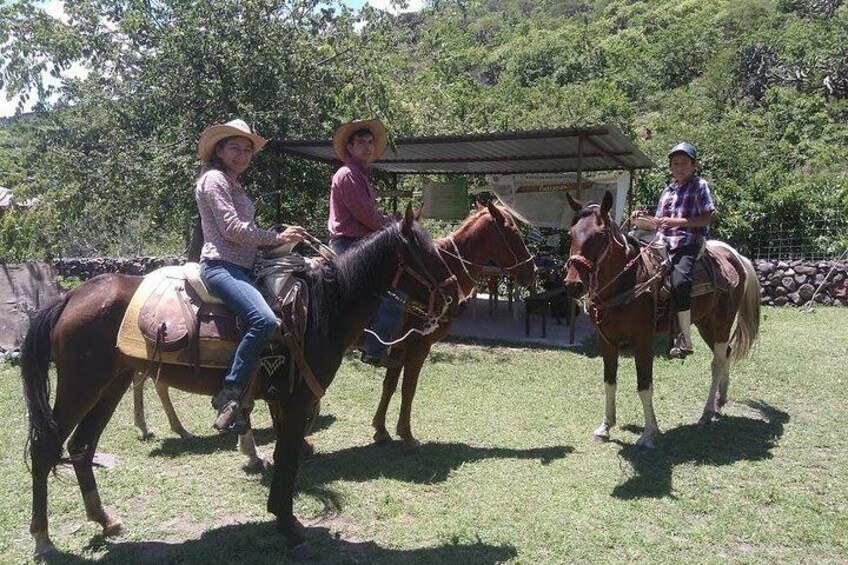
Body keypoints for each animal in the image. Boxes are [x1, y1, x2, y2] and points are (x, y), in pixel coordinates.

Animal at [18, 209, 458, 556]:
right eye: (425, 253)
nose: (454, 295)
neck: (318, 311)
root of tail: (70, 298)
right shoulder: (295, 400)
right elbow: (287, 458)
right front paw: (289, 527)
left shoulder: (282, 400)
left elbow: (287, 458)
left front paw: (281, 515)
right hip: (81, 385)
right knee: (46, 449)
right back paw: (43, 539)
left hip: (113, 384)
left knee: (81, 447)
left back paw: (105, 520)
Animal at [564, 192, 760, 448]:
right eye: (571, 233)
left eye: (600, 234)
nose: (573, 284)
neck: (628, 280)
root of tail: (735, 256)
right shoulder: (606, 341)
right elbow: (609, 382)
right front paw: (605, 427)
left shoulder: (643, 341)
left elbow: (644, 386)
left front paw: (649, 433)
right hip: (706, 323)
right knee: (725, 354)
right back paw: (720, 401)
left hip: (722, 322)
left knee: (717, 363)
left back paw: (707, 412)